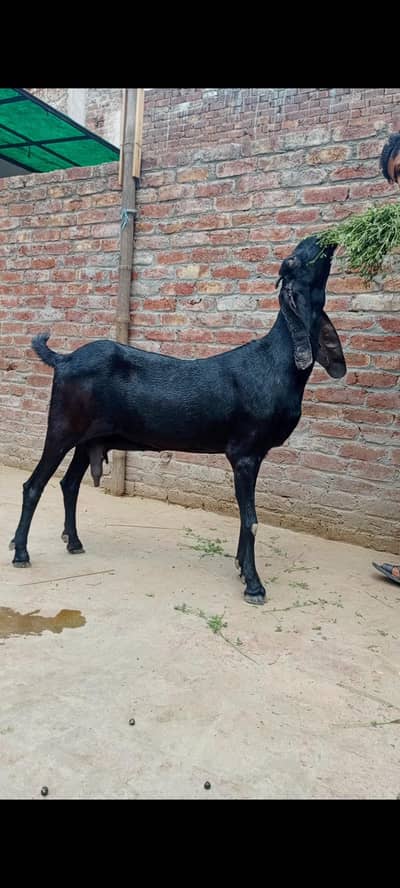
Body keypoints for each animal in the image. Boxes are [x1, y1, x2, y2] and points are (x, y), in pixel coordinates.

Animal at [10, 235, 346, 604]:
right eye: (297, 258)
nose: (326, 238)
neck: (275, 360)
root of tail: (64, 359)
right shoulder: (244, 453)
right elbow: (251, 519)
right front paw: (254, 585)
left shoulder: (253, 456)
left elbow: (245, 516)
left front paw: (241, 568)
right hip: (62, 428)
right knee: (33, 485)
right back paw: (21, 553)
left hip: (88, 440)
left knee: (69, 485)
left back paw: (74, 542)